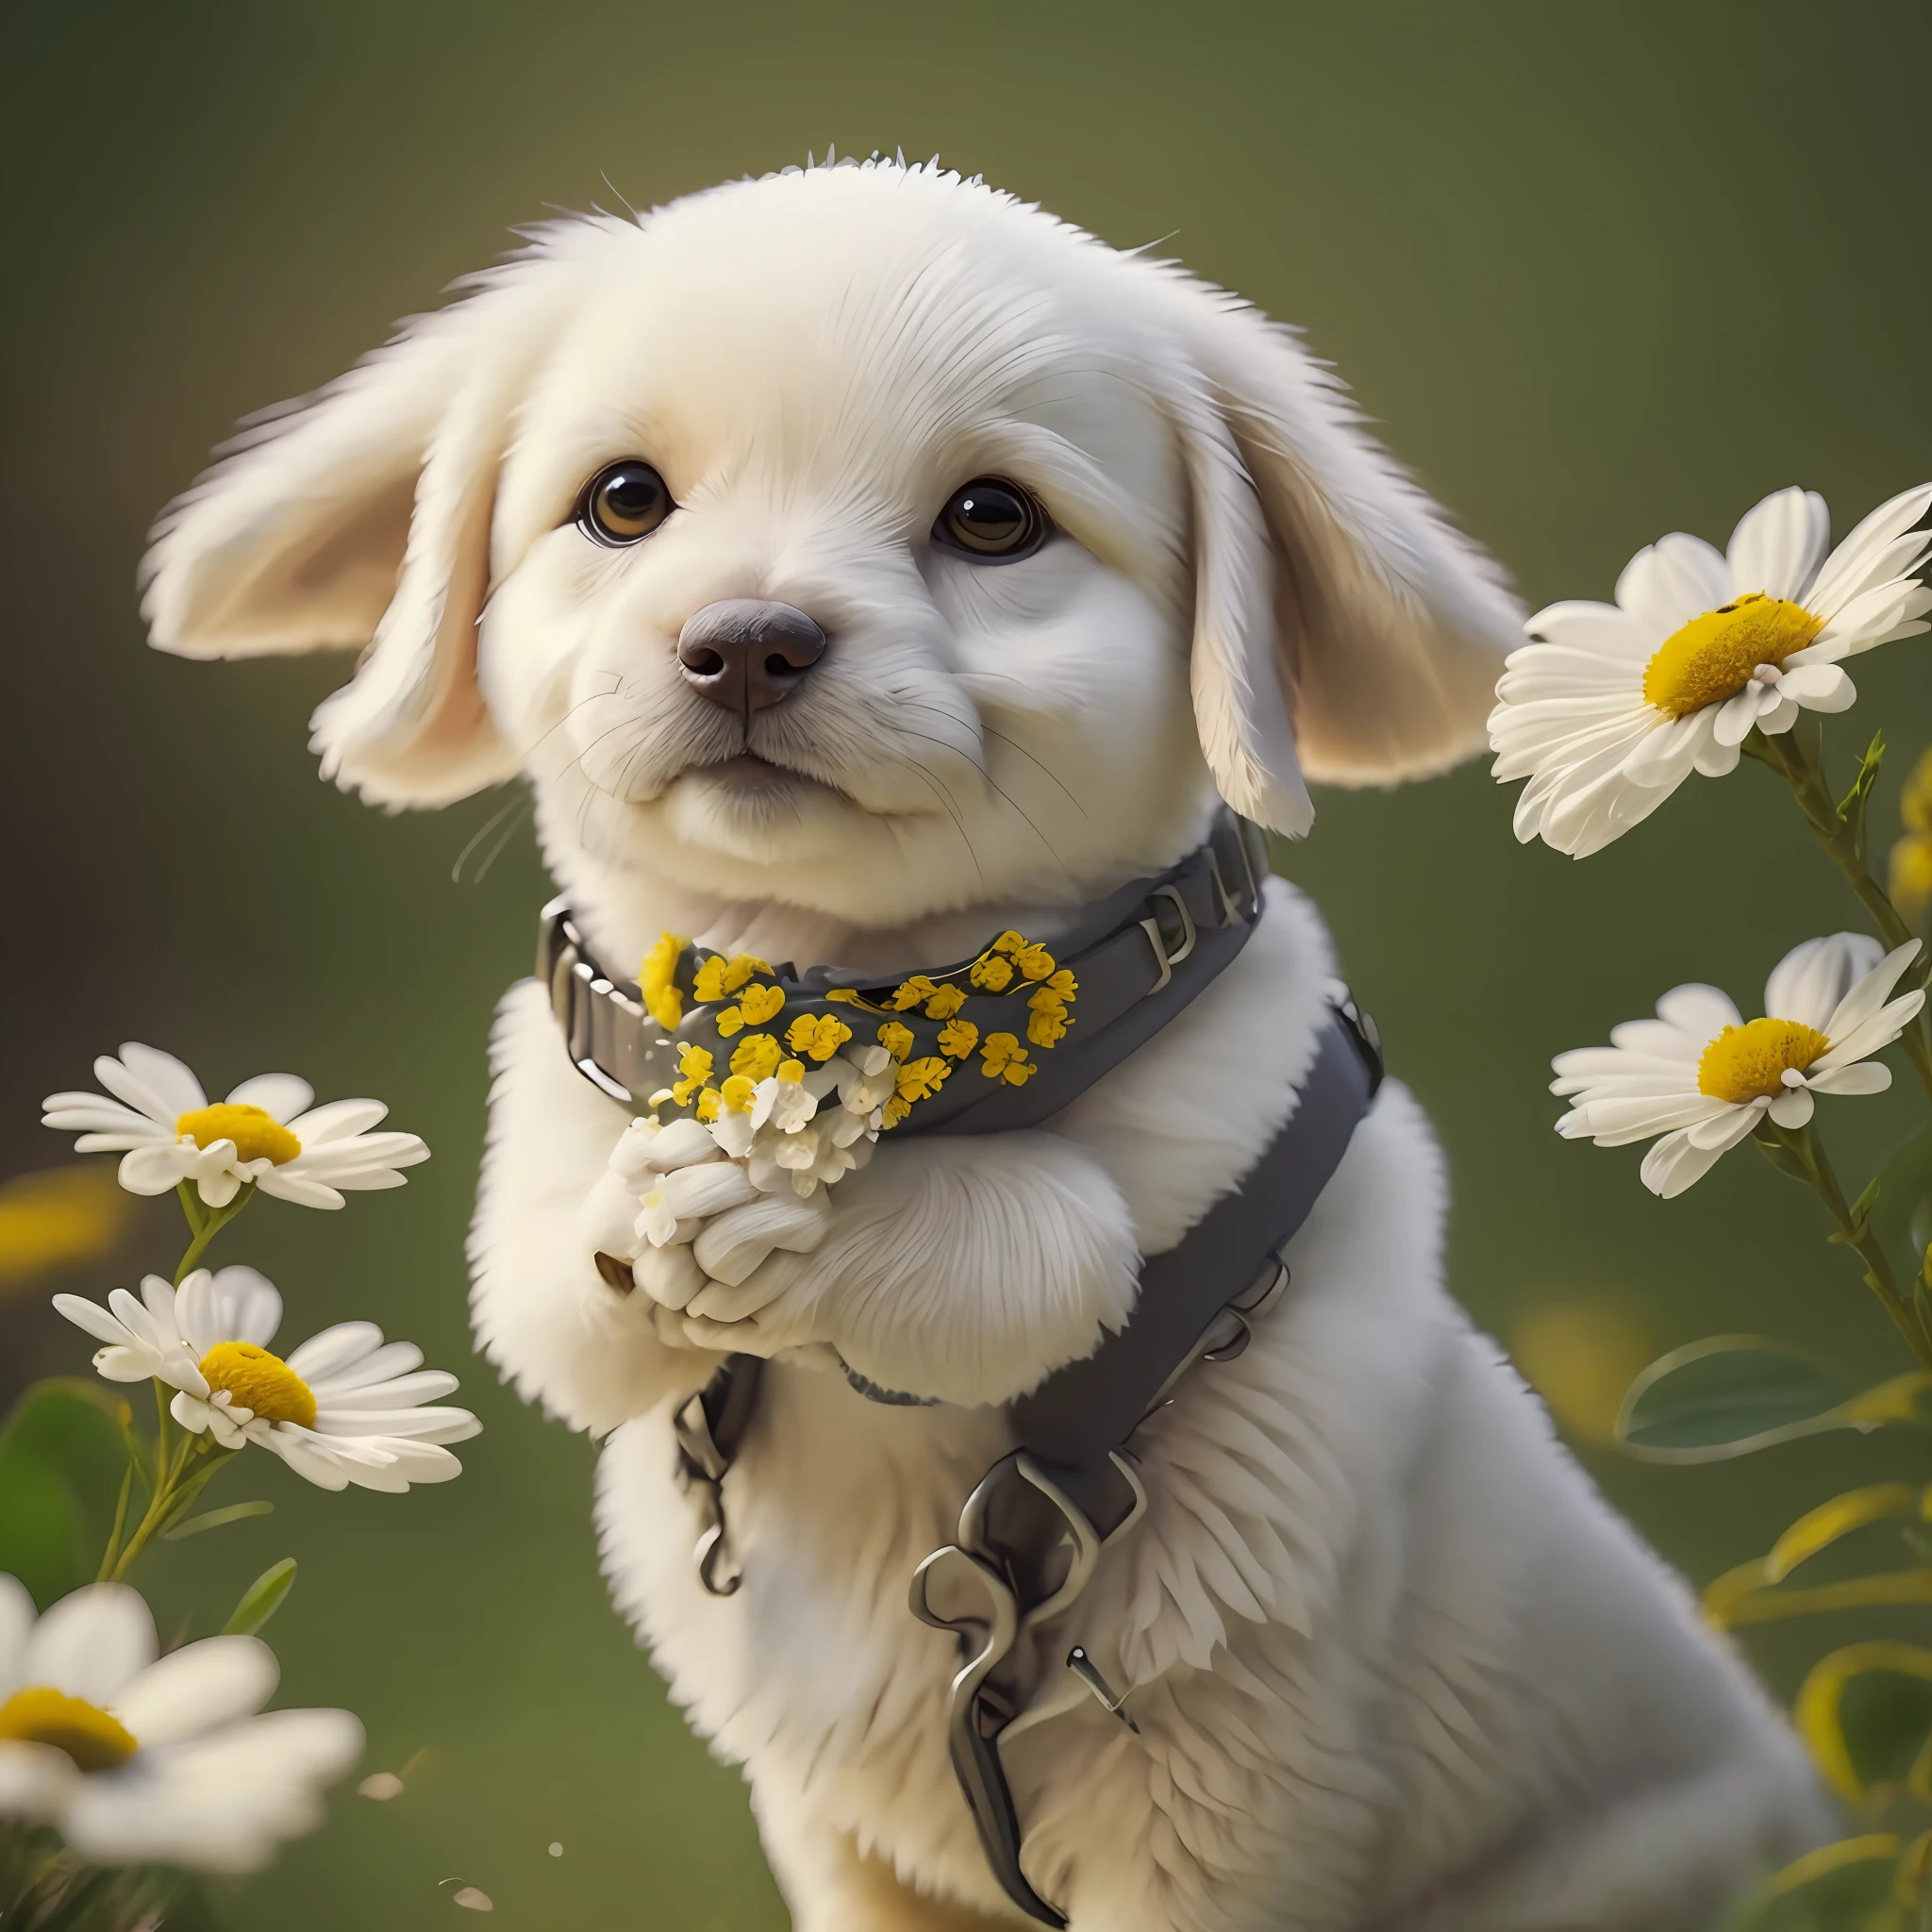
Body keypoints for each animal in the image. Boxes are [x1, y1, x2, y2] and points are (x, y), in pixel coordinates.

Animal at [140, 158, 1824, 1924]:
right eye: (622, 500)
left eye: (991, 519)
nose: (747, 639)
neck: (850, 999)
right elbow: (553, 1295)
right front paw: (657, 1210)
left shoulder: (1225, 1811)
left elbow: (1052, 1244)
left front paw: (817, 1227)